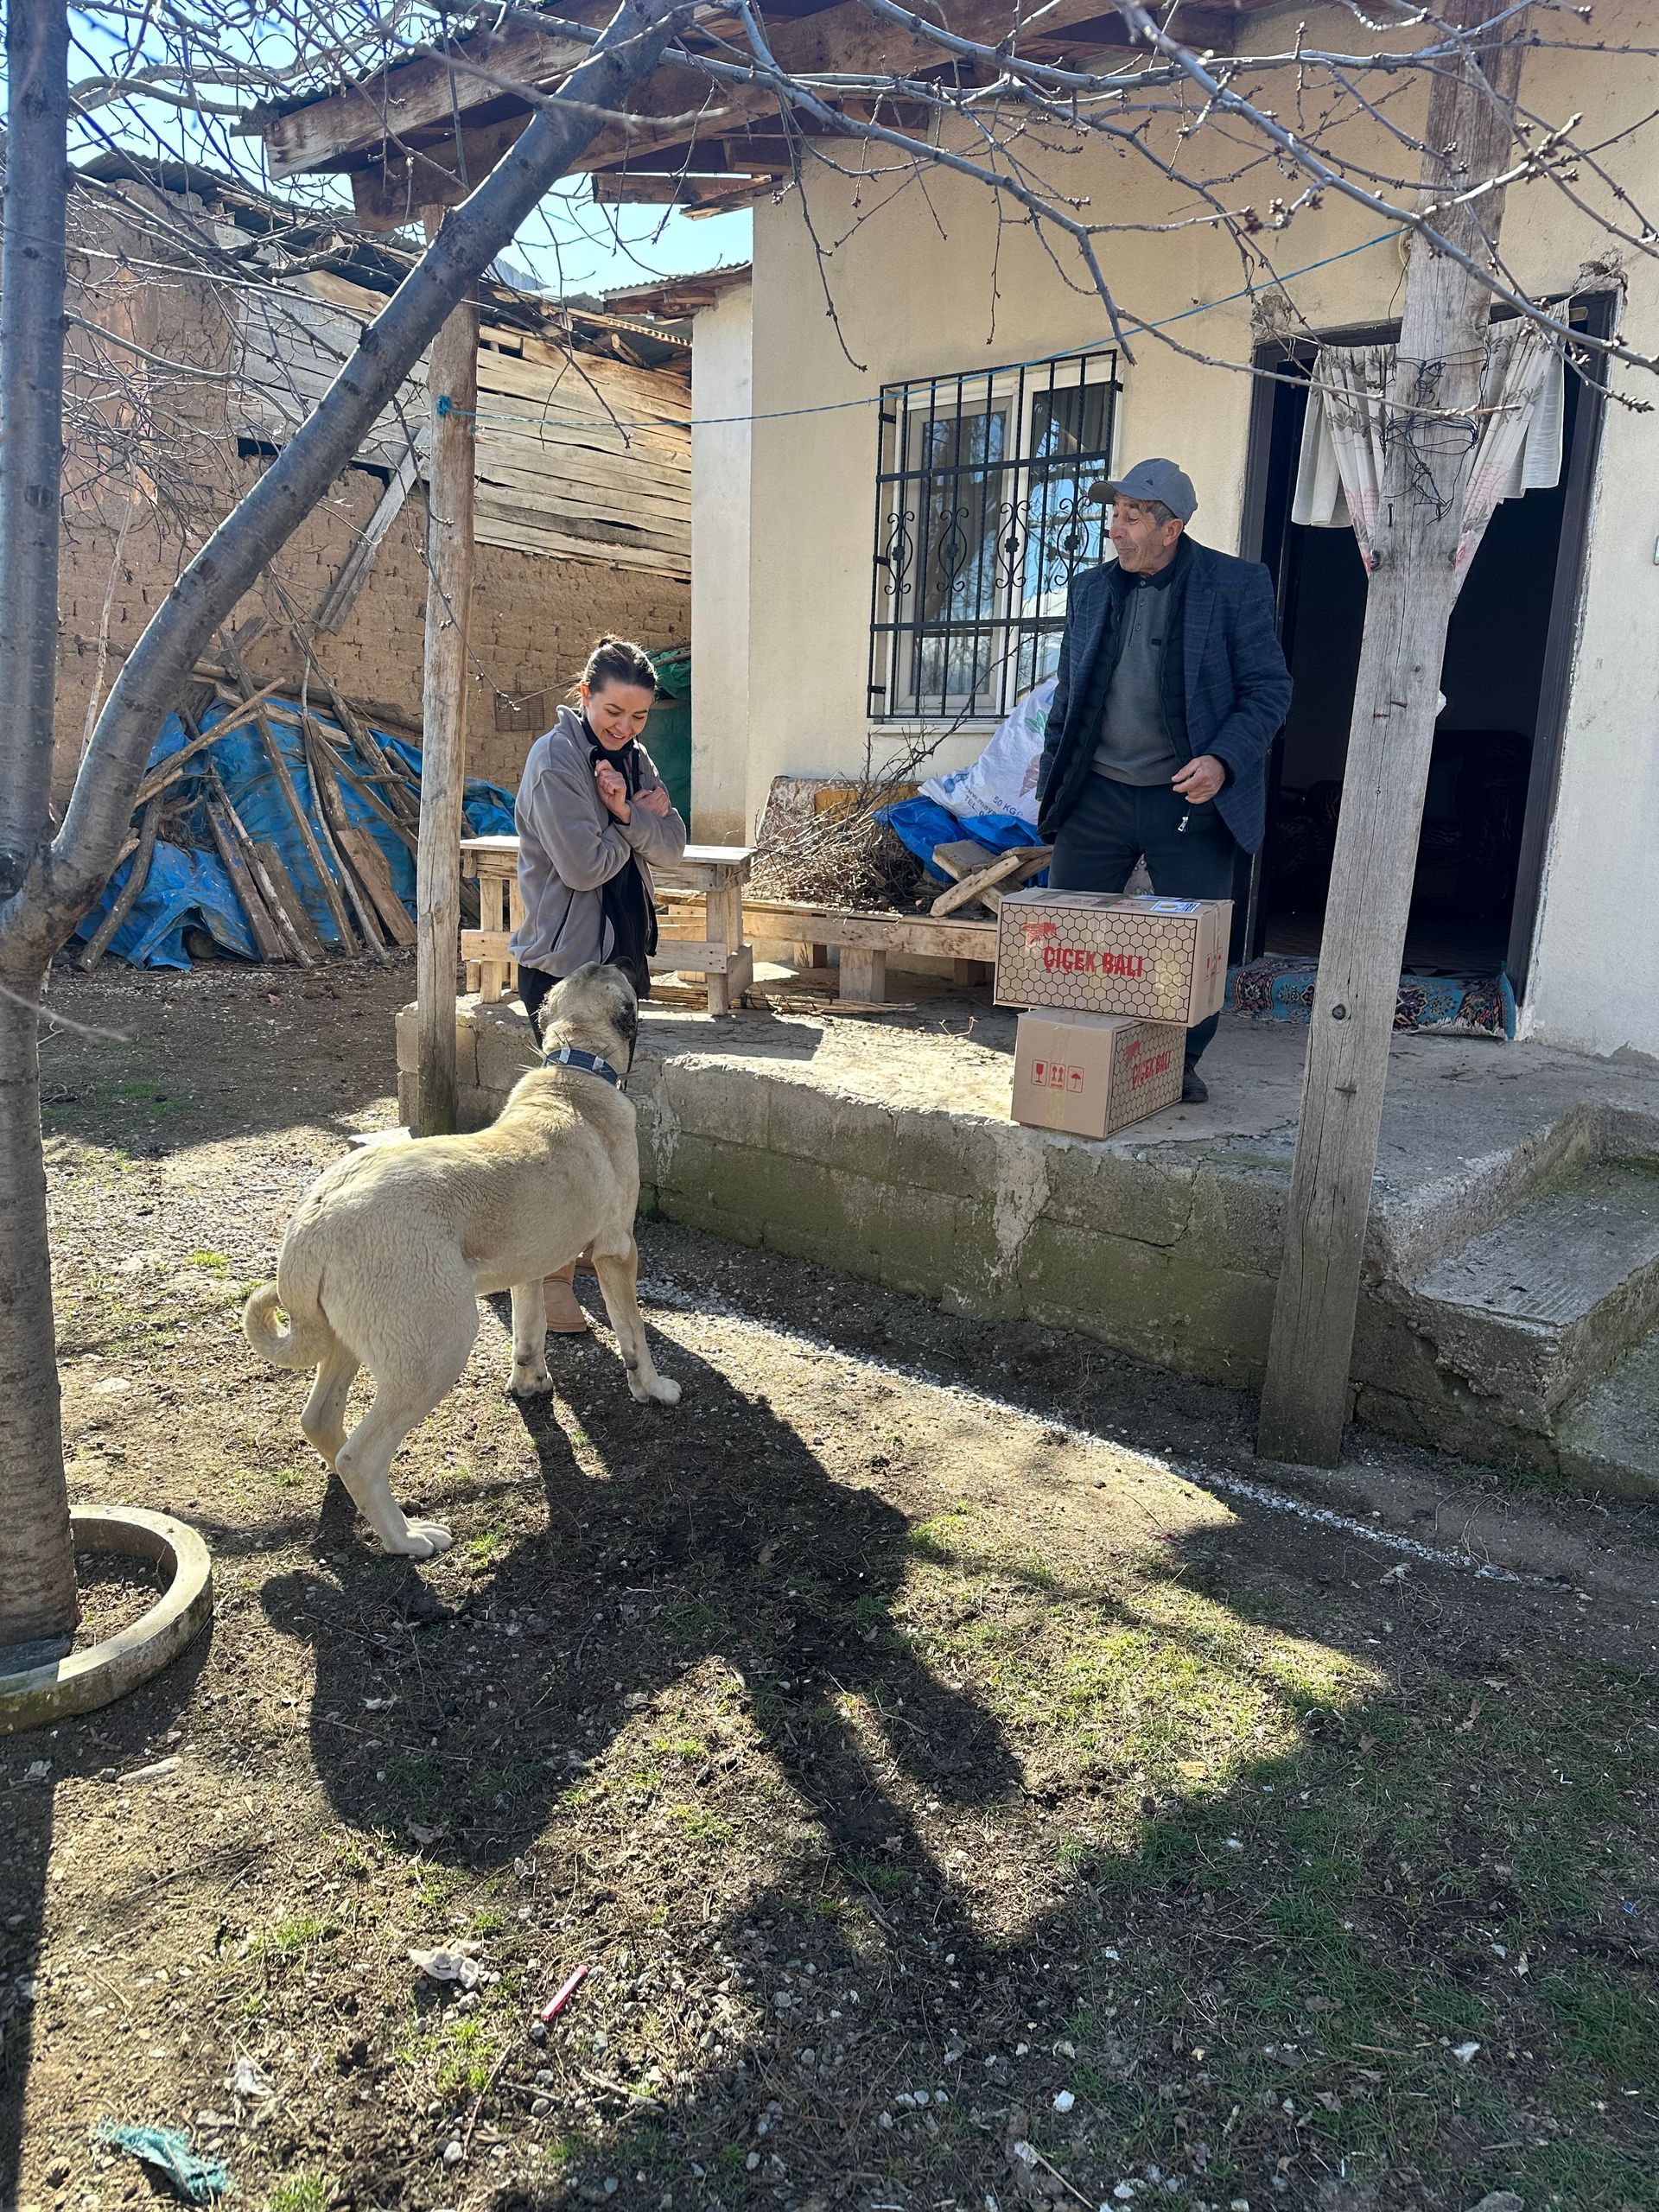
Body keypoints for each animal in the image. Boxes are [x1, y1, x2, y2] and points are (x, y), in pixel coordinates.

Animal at [242, 963, 677, 1558]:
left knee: (320, 1420)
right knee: (363, 1456)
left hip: (353, 1341)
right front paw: (652, 1389)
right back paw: (406, 1537)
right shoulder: (618, 1251)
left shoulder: (529, 1265)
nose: (634, 962)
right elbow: (633, 1337)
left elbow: (530, 1328)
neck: (574, 1067)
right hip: (438, 1348)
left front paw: (531, 1384)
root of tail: (313, 1225)